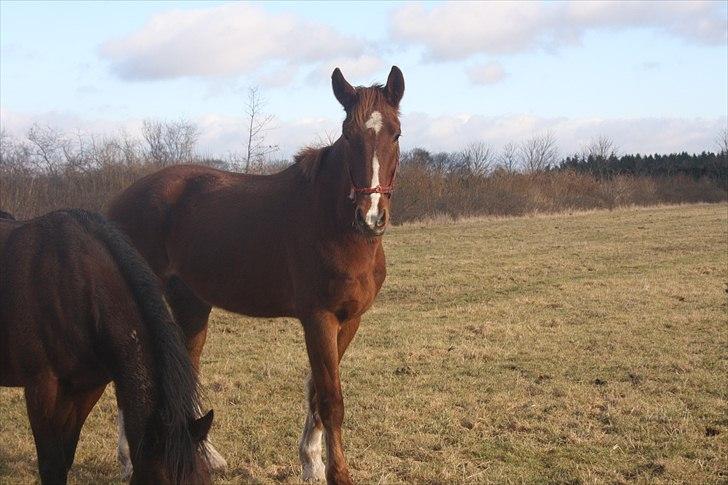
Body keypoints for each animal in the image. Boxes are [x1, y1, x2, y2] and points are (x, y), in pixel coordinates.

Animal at [0, 209, 215, 484]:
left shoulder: (86, 389)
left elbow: (65, 458)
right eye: (163, 481)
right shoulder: (41, 388)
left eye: (205, 479)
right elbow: (51, 465)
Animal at [108, 66, 404, 482]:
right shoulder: (318, 319)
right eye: (348, 134)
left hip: (191, 303)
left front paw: (311, 462)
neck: (334, 224)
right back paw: (128, 458)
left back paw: (206, 456)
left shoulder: (350, 320)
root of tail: (118, 203)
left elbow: (316, 390)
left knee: (188, 370)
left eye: (396, 133)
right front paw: (335, 473)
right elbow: (331, 400)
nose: (372, 216)